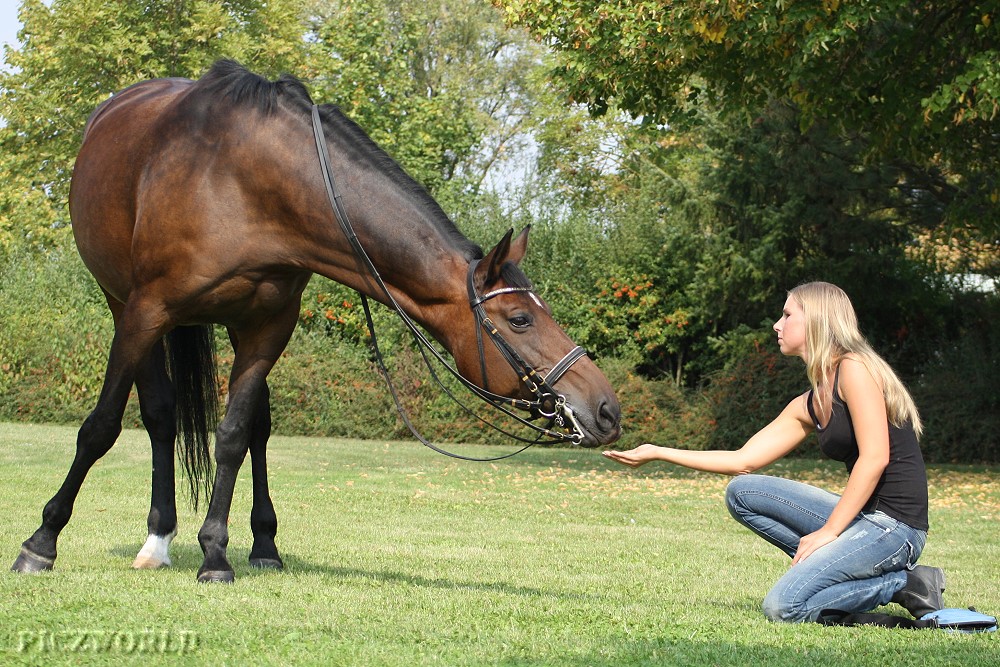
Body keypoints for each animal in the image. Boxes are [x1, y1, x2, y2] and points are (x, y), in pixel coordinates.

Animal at [11, 62, 620, 584]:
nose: (606, 409)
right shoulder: (143, 312)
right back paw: (156, 540)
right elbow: (101, 427)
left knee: (250, 428)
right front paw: (41, 542)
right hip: (126, 306)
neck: (242, 179)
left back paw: (258, 545)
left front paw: (216, 553)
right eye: (519, 319)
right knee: (160, 416)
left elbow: (233, 436)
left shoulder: (268, 325)